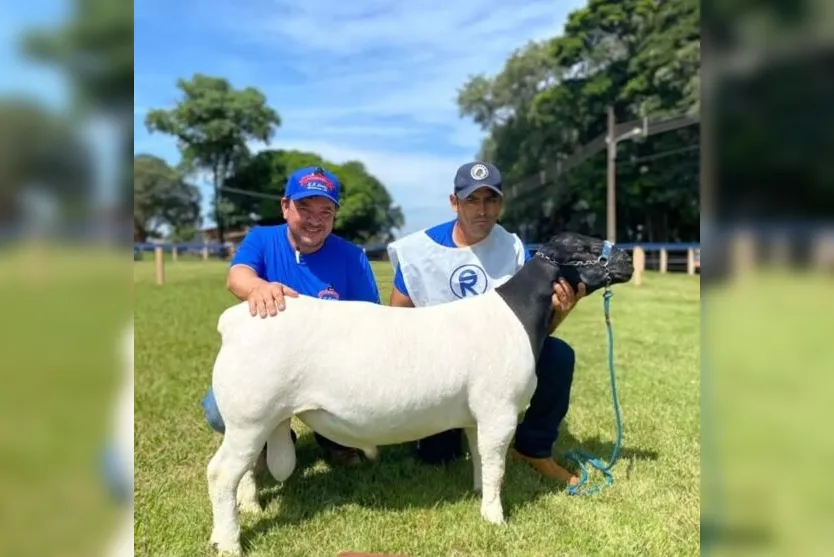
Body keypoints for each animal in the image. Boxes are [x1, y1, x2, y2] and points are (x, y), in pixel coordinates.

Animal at [206, 230, 632, 552]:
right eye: (583, 248)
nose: (627, 258)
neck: (517, 317)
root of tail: (235, 321)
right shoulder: (500, 409)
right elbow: (497, 465)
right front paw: (495, 517)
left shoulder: (478, 414)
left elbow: (481, 458)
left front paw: (480, 494)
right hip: (250, 415)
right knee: (220, 473)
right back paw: (229, 542)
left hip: (256, 419)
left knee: (244, 471)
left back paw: (252, 508)